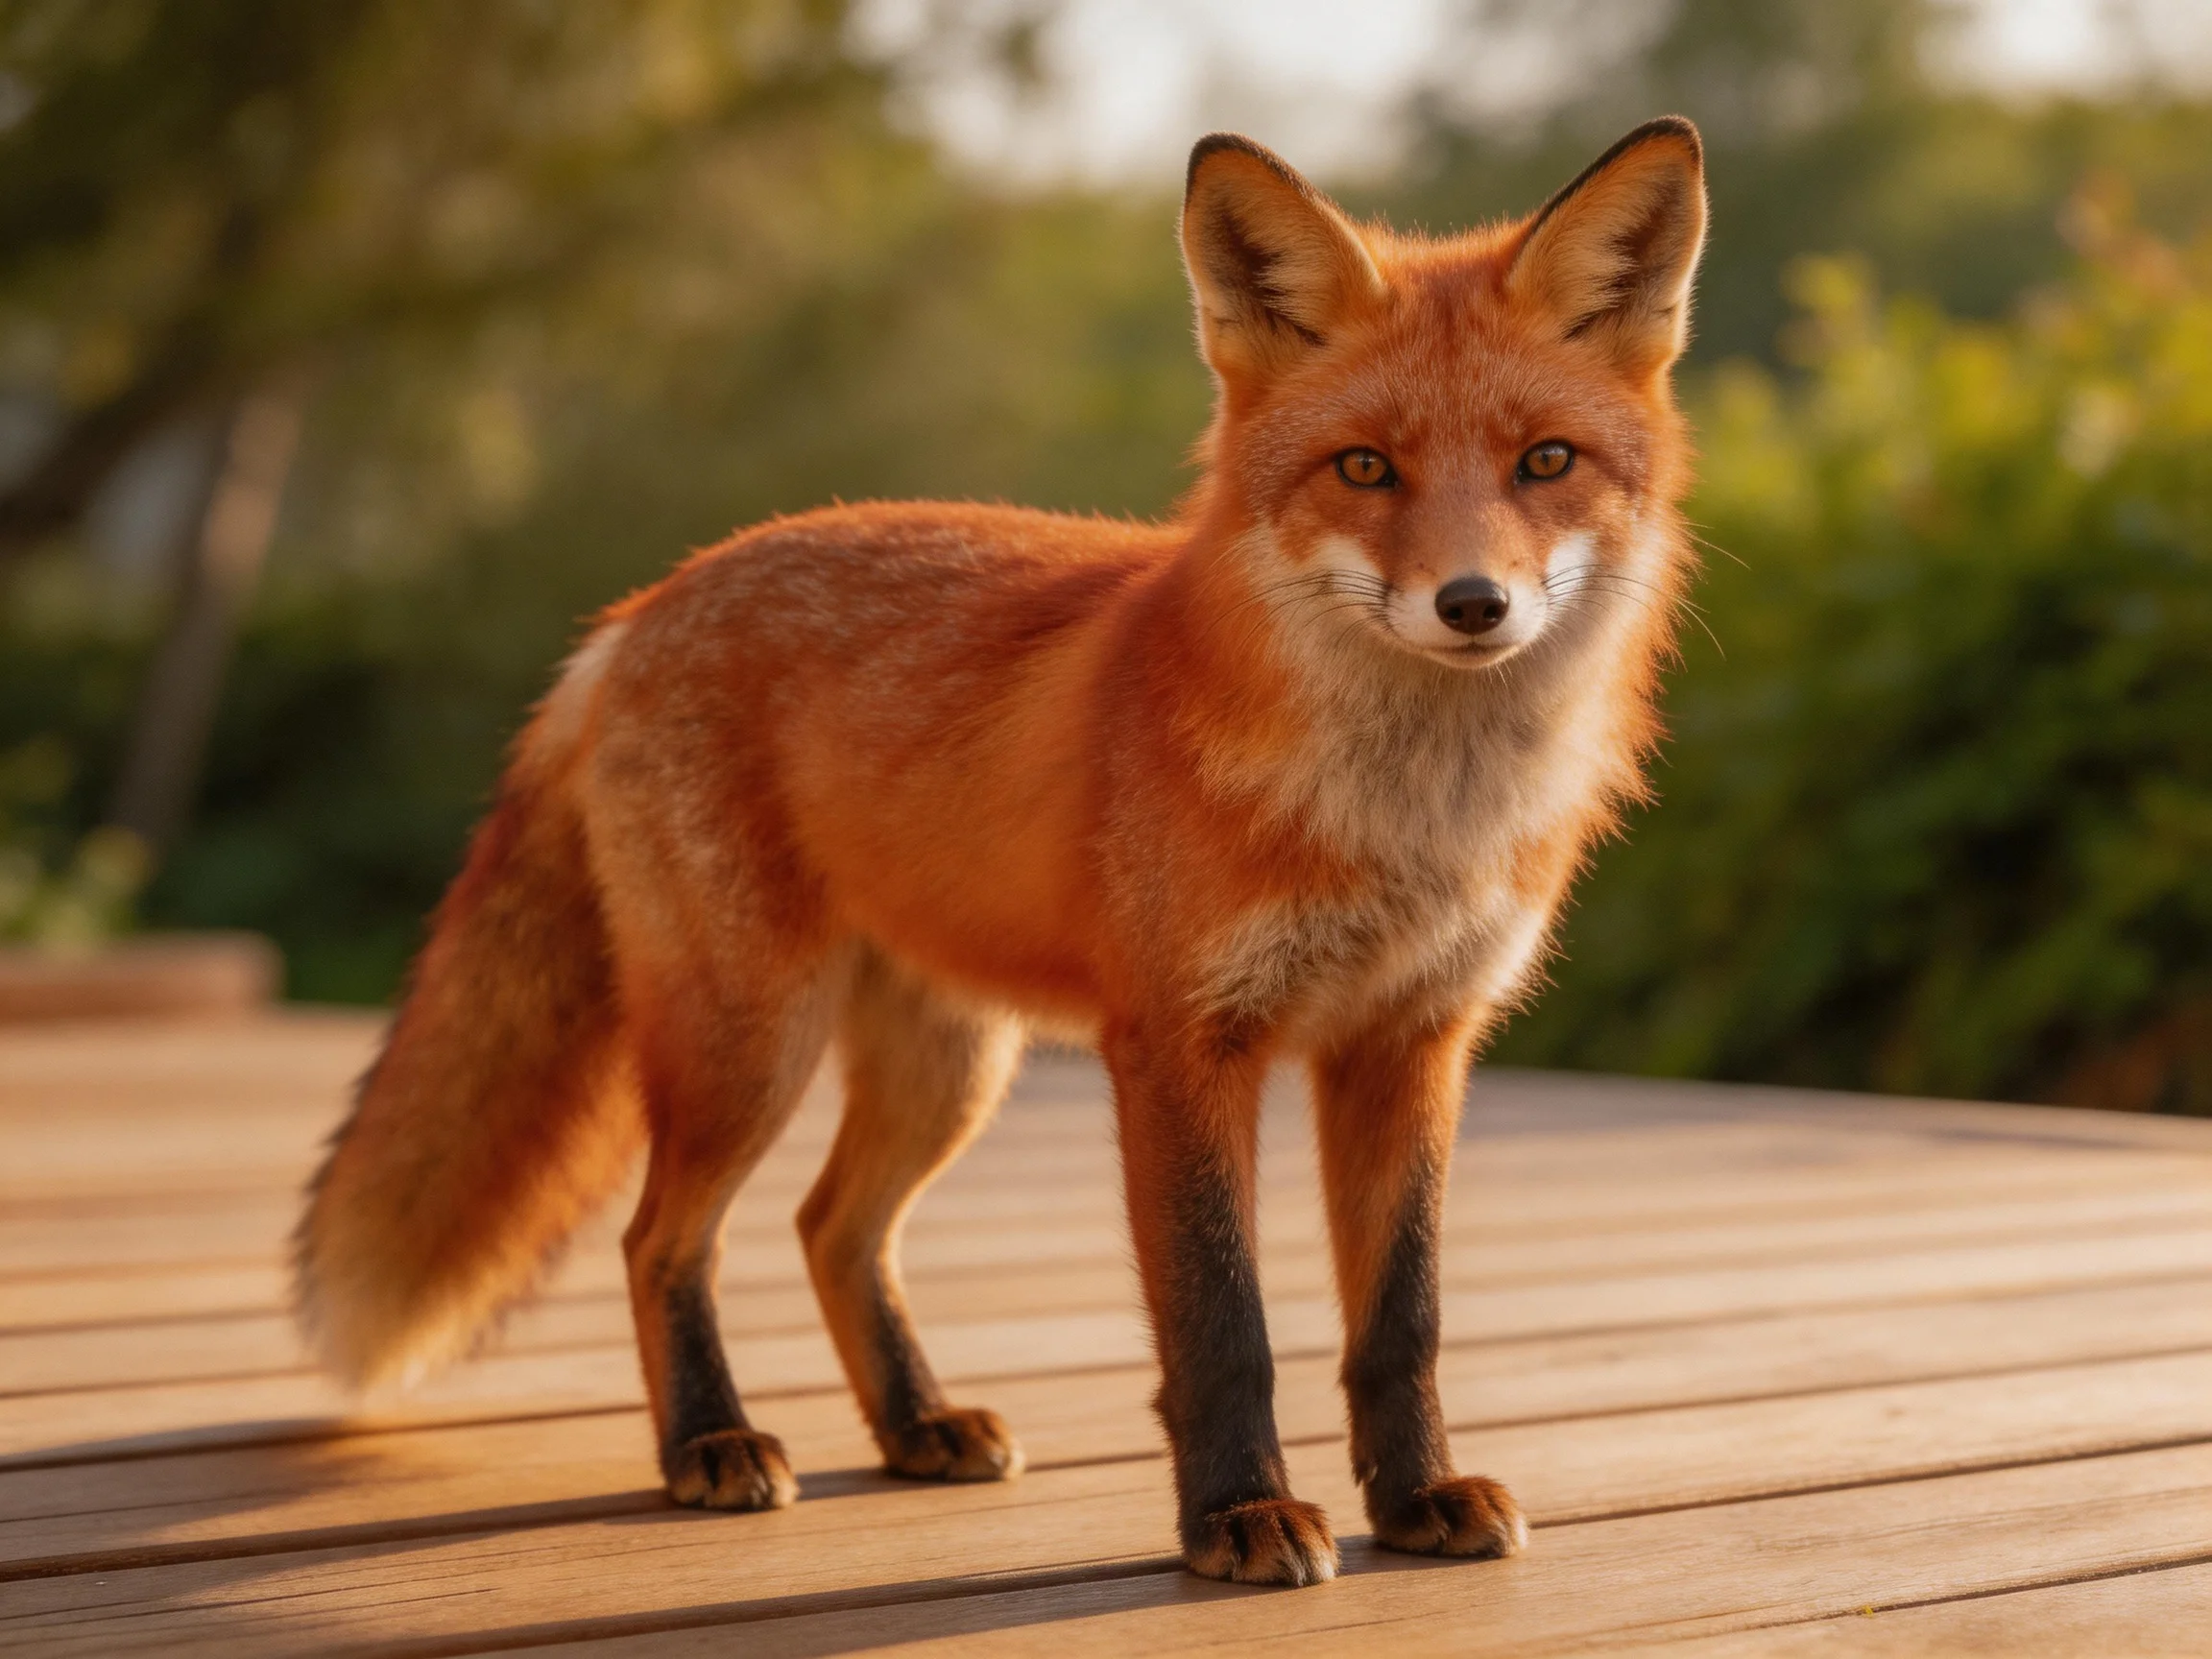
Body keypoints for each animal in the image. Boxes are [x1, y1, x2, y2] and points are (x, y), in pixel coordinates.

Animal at [295, 117, 1706, 1587]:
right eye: (1364, 468)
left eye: (1545, 463)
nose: (1472, 603)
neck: (1401, 820)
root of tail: (640, 605)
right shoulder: (1180, 1045)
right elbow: (1223, 1325)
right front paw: (1237, 1517)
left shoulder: (1411, 1044)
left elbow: (1402, 1321)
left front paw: (1417, 1496)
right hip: (751, 1046)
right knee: (659, 1238)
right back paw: (709, 1444)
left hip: (947, 1066)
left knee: (830, 1228)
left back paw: (915, 1423)